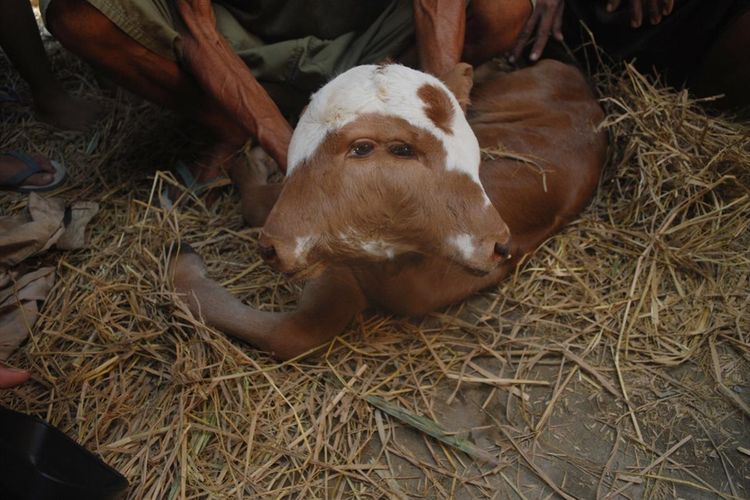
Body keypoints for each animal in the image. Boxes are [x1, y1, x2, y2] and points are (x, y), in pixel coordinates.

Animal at [173, 60, 608, 362]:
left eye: (366, 147)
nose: (273, 247)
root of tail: (576, 76)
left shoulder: (340, 277)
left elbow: (290, 335)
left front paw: (182, 265)